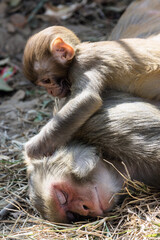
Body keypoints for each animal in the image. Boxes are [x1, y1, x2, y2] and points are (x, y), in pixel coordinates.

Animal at [23, 0, 160, 159]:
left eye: (46, 81)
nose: (50, 92)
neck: (78, 52)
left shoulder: (82, 65)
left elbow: (87, 99)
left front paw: (32, 149)